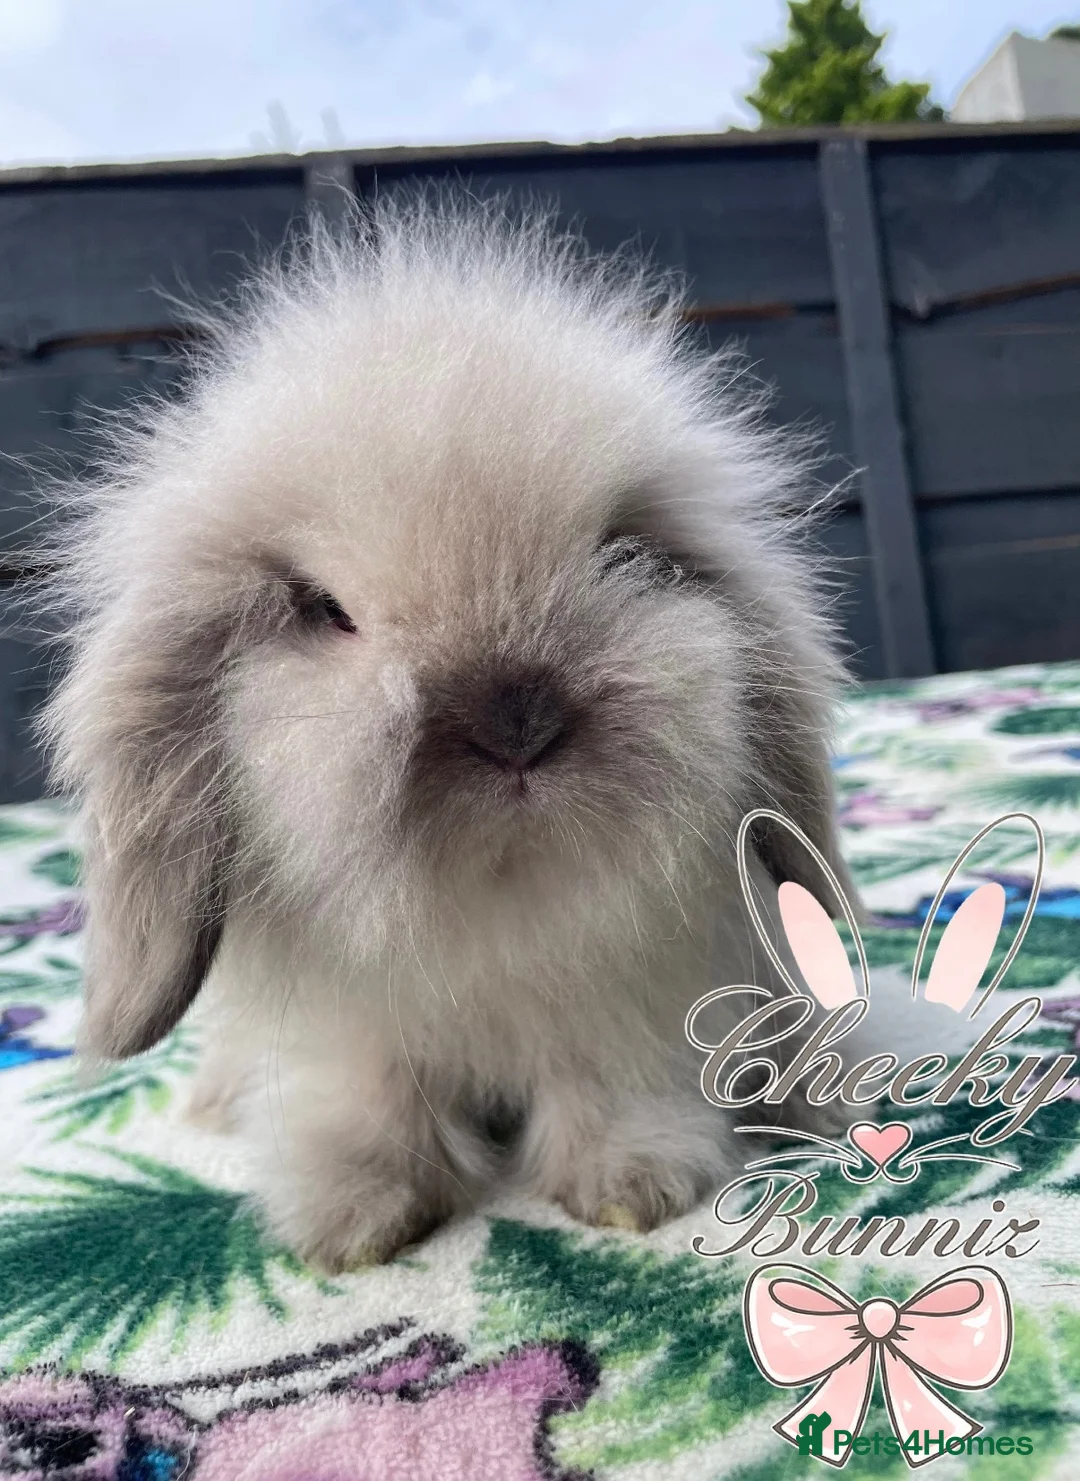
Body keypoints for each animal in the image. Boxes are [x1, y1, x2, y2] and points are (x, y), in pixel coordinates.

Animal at [34, 192, 855, 1272]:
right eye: (325, 610)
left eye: (623, 555)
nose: (517, 719)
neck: (491, 891)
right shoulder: (354, 1032)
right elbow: (373, 1099)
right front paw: (355, 1219)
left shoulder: (624, 999)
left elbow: (610, 1080)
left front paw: (632, 1187)